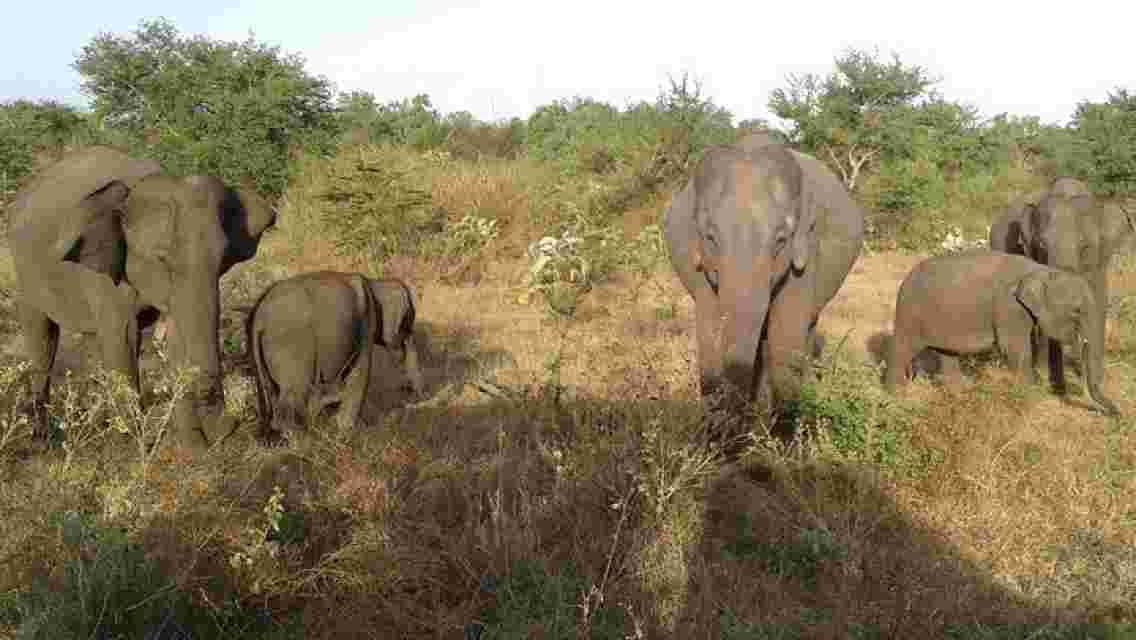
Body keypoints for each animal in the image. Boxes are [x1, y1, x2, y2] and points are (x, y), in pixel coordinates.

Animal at [8, 147, 277, 452]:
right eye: (162, 260)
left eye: (223, 259)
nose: (231, 425)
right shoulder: (105, 273)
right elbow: (121, 337)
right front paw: (131, 443)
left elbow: (175, 340)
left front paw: (192, 448)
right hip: (24, 268)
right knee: (42, 337)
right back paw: (43, 440)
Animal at [246, 270, 424, 441]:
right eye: (407, 325)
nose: (412, 394)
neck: (375, 283)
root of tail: (258, 318)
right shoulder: (365, 322)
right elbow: (360, 374)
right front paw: (347, 432)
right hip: (291, 346)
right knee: (293, 393)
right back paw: (303, 439)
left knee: (271, 392)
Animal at [663, 133, 863, 427]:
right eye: (710, 238)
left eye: (781, 240)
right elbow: (709, 336)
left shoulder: (806, 251)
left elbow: (786, 337)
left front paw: (783, 437)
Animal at [886, 247, 1117, 418]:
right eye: (1077, 311)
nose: (1116, 412)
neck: (1041, 270)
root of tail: (904, 280)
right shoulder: (1009, 306)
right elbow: (1014, 349)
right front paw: (1030, 397)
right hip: (910, 313)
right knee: (902, 350)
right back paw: (896, 397)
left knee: (947, 354)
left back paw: (959, 395)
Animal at [986, 175, 1136, 395]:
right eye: (1042, 245)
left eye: (1085, 246)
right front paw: (1055, 385)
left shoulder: (1098, 263)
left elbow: (1098, 305)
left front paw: (1094, 379)